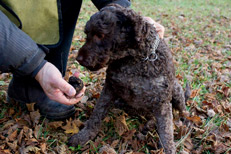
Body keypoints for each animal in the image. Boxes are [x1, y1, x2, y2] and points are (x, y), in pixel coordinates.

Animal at [69, 3, 190, 154]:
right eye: (87, 34)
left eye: (100, 35)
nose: (78, 59)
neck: (135, 61)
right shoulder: (109, 89)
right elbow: (96, 115)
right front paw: (84, 136)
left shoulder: (162, 102)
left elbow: (167, 132)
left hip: (176, 91)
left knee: (181, 110)